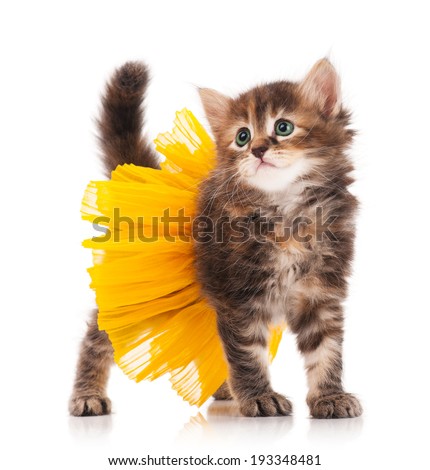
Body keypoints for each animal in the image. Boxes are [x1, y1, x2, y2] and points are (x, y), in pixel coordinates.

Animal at [69, 57, 362, 418]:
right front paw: (259, 397)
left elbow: (326, 352)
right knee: (96, 338)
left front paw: (329, 397)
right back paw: (87, 394)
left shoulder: (321, 294)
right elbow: (247, 355)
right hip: (134, 296)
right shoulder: (238, 298)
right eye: (242, 136)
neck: (286, 211)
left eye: (283, 127)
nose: (257, 150)